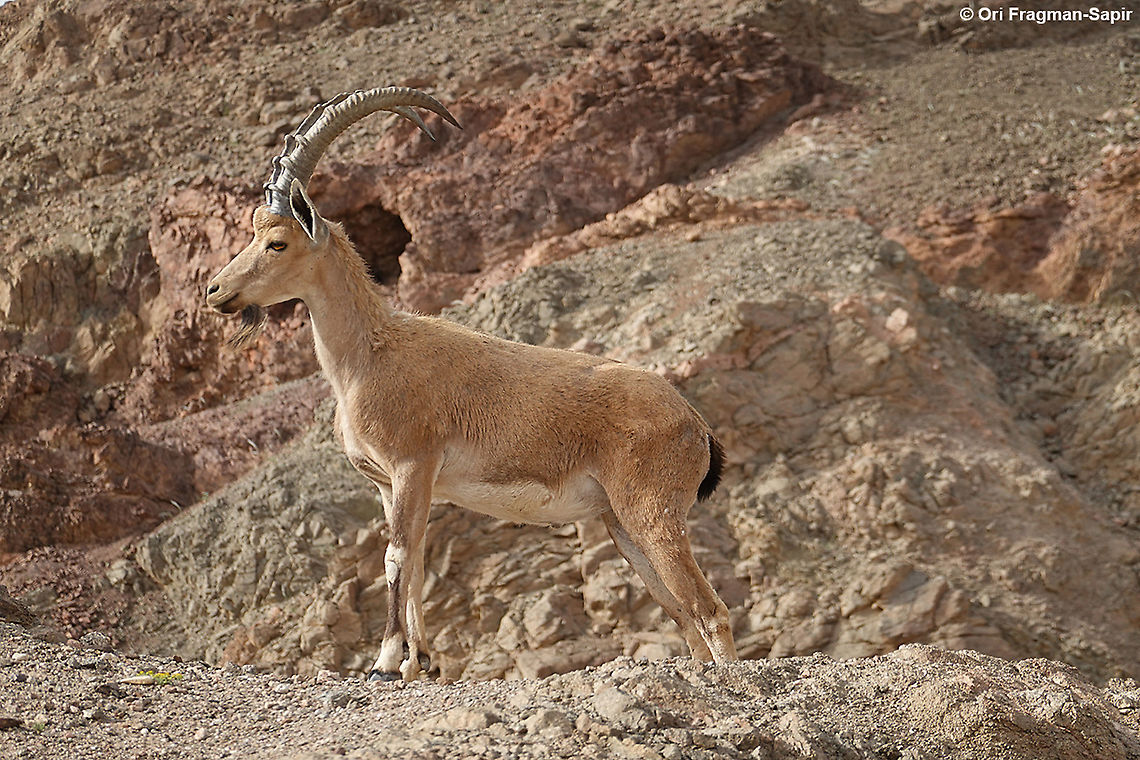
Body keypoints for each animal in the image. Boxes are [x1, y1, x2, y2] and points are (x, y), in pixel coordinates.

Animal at [205, 87, 737, 681]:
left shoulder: (413, 463)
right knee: (683, 614)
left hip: (653, 512)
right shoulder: (391, 484)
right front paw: (417, 666)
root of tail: (696, 424)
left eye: (276, 243)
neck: (369, 357)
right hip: (622, 524)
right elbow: (413, 561)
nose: (215, 290)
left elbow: (396, 557)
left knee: (709, 610)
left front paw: (384, 663)